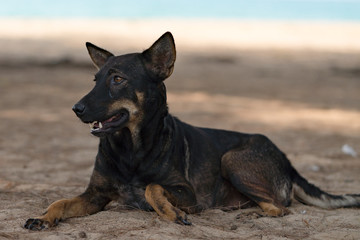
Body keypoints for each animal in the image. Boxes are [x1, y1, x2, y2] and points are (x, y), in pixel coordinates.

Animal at [23, 31, 358, 230]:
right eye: (95, 80)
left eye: (117, 79)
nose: (76, 108)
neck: (130, 149)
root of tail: (286, 159)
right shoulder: (94, 195)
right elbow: (60, 202)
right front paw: (44, 217)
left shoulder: (186, 192)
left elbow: (152, 187)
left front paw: (171, 212)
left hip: (232, 159)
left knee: (280, 208)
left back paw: (252, 214)